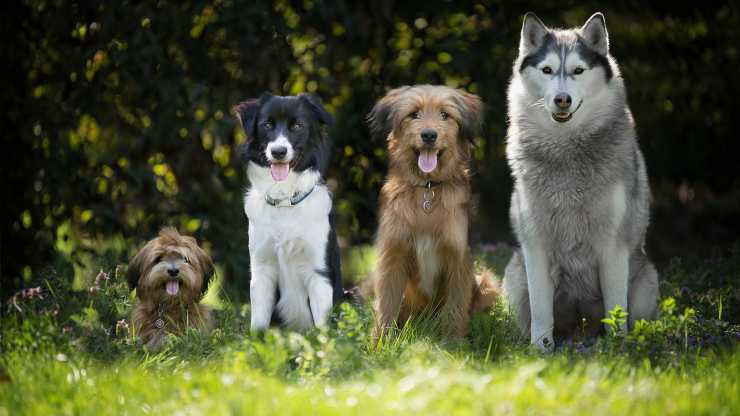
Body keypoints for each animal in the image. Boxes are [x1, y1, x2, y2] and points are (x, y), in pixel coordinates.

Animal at [368, 85, 500, 342]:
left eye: (445, 115)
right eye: (414, 114)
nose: (429, 135)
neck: (427, 189)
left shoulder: (458, 258)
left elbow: (456, 307)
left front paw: (453, 343)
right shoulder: (393, 256)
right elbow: (387, 305)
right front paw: (380, 343)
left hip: (487, 282)